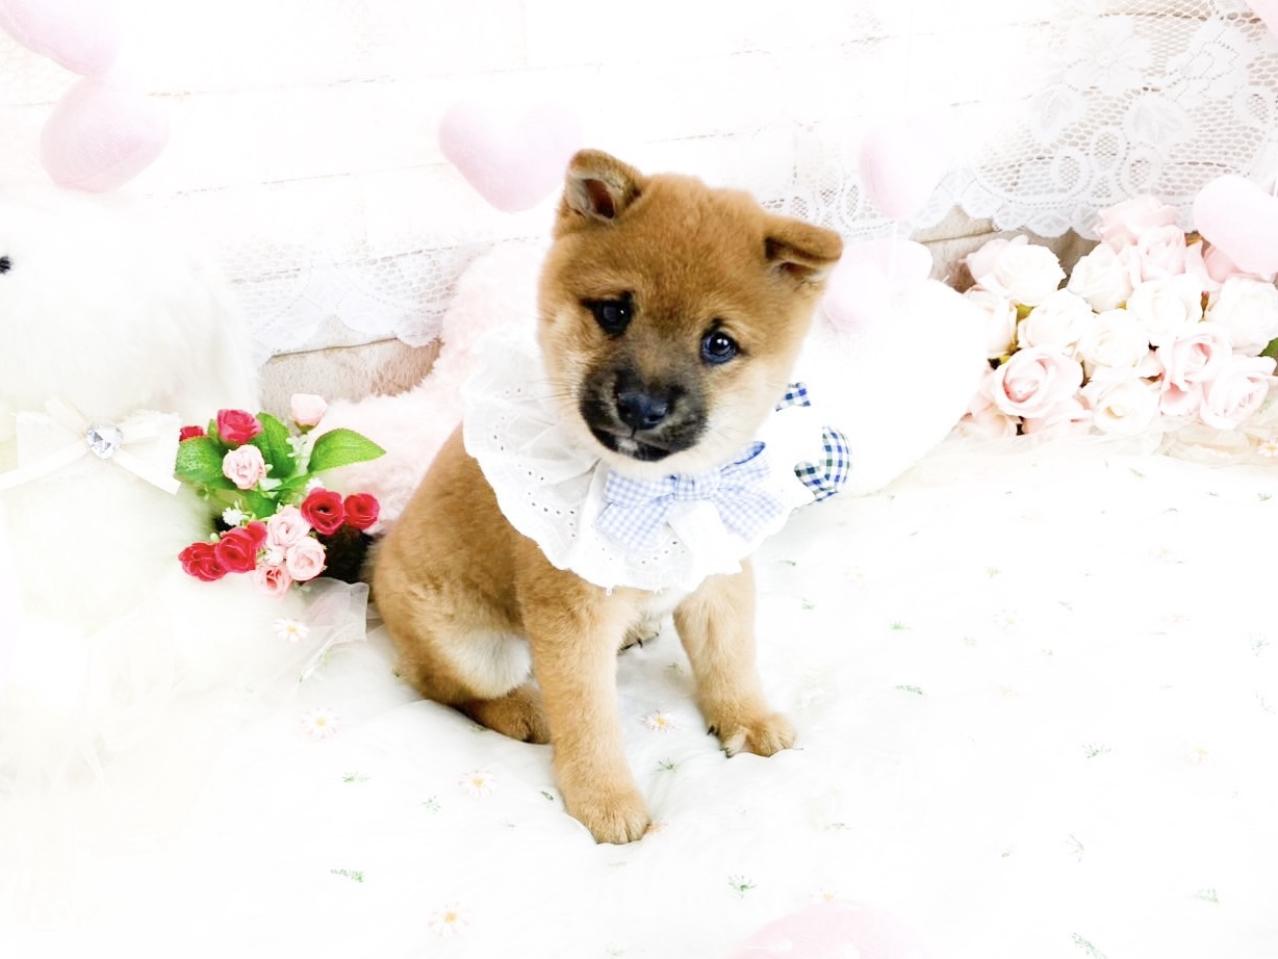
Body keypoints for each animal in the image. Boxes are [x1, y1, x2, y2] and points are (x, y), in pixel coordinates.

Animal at [374, 150, 842, 843]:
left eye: (719, 344)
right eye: (615, 313)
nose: (642, 407)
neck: (664, 493)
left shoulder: (718, 580)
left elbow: (730, 658)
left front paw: (747, 718)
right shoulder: (572, 620)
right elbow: (588, 718)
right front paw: (605, 800)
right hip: (473, 648)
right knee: (443, 687)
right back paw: (522, 709)